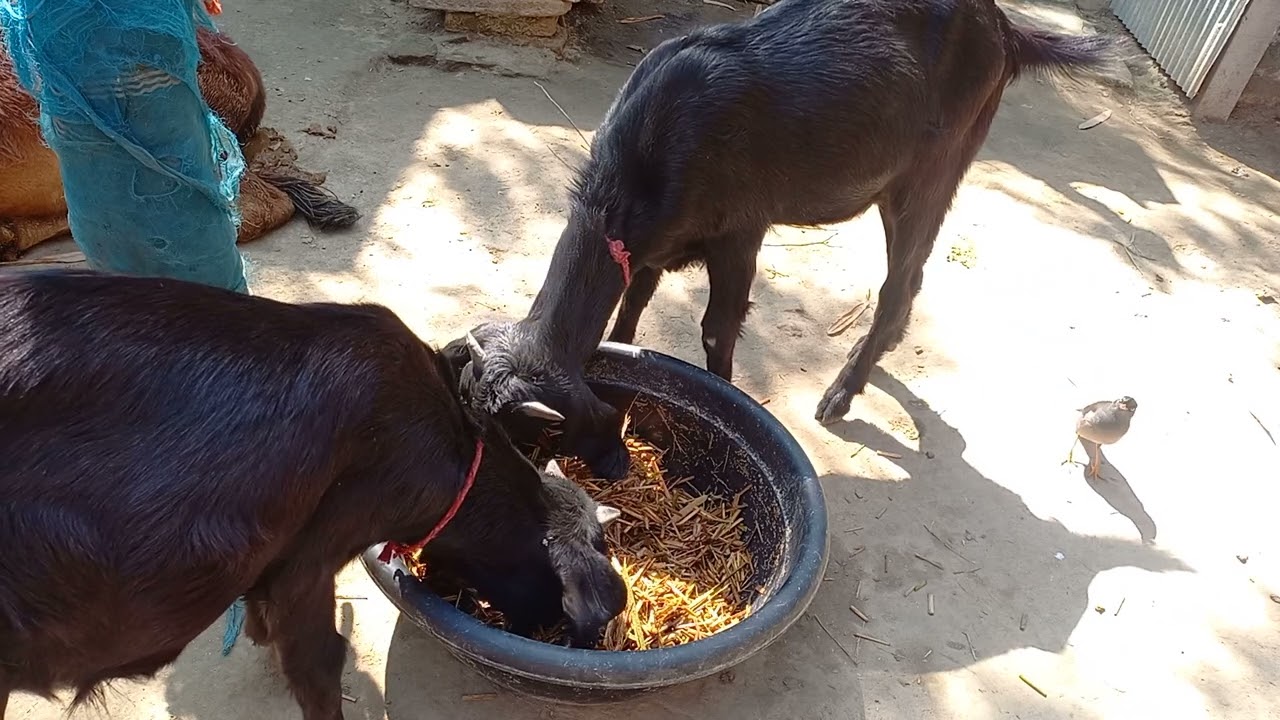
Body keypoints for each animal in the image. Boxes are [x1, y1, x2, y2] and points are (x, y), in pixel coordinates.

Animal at [450, 0, 1115, 476]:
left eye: (525, 433)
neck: (637, 168)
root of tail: (1004, 28)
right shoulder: (651, 246)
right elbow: (631, 307)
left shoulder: (740, 233)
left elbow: (716, 329)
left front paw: (725, 407)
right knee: (913, 277)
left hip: (935, 168)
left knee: (900, 281)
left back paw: (841, 394)